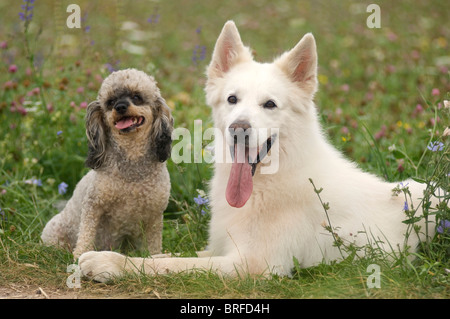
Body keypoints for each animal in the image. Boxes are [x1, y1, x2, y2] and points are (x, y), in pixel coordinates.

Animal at [80, 20, 436, 282]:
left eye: (270, 104)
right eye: (232, 99)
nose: (239, 128)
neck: (270, 183)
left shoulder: (250, 264)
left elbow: (165, 264)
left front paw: (107, 262)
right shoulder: (219, 249)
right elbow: (166, 256)